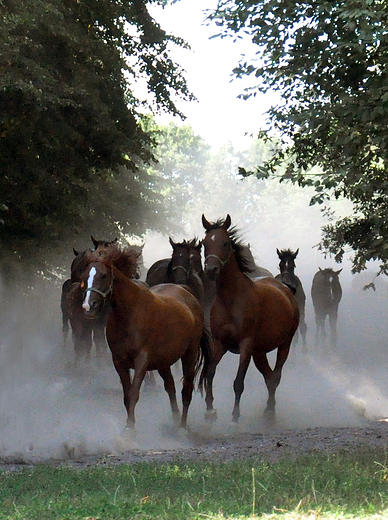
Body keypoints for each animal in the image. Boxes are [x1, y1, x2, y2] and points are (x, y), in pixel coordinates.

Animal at [79, 246, 212, 428]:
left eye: (103, 275)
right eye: (84, 276)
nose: (88, 306)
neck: (129, 314)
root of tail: (186, 292)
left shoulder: (142, 360)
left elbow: (134, 393)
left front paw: (130, 429)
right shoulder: (119, 361)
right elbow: (127, 395)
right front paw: (129, 425)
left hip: (189, 354)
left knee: (187, 389)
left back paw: (182, 426)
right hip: (163, 361)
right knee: (170, 386)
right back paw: (175, 419)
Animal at [202, 215, 298, 422]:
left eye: (225, 243)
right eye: (205, 243)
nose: (211, 269)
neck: (230, 300)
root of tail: (284, 287)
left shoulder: (245, 345)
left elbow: (238, 382)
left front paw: (235, 418)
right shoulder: (220, 343)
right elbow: (210, 373)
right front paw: (210, 411)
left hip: (284, 343)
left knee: (276, 376)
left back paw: (269, 411)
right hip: (259, 351)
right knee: (269, 377)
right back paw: (269, 409)